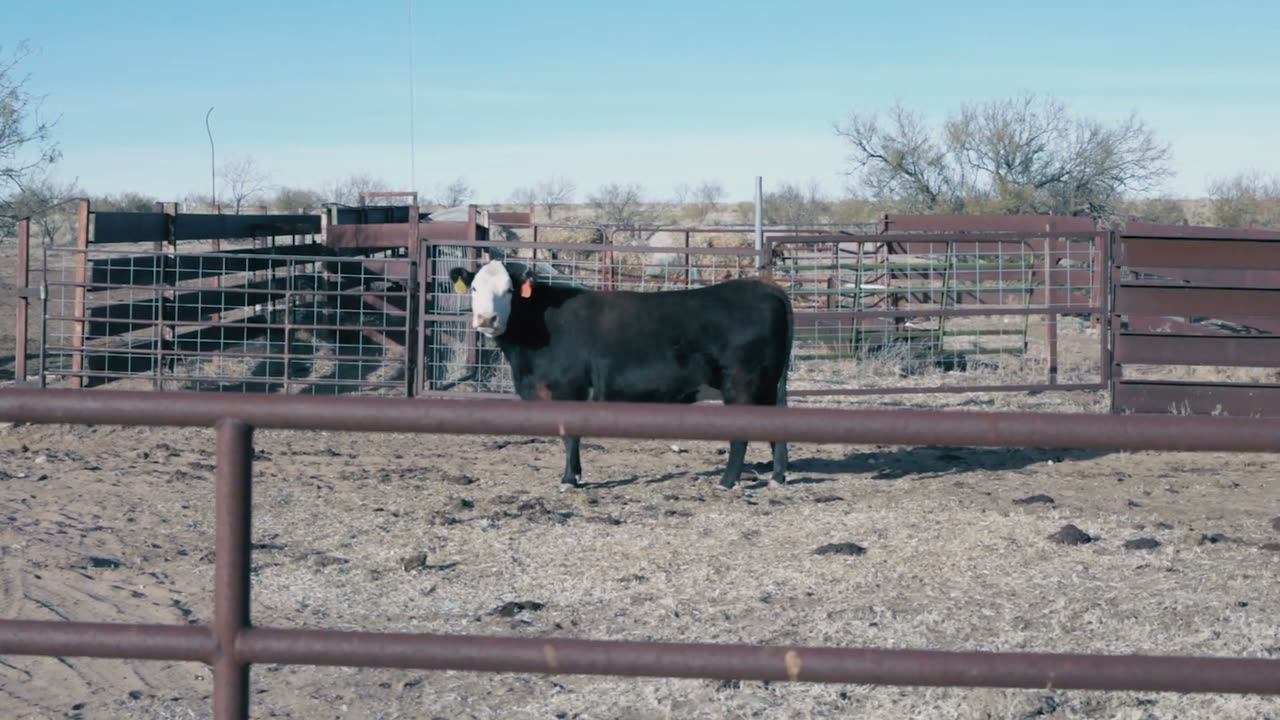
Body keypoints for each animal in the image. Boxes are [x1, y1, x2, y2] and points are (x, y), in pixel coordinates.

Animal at [449, 259, 794, 492]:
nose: (486, 318)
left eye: (508, 290)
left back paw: (727, 480)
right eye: (475, 287)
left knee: (741, 435)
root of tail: (766, 287)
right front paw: (575, 475)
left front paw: (569, 479)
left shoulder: (567, 389)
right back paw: (777, 476)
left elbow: (570, 436)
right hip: (769, 384)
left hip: (742, 384)